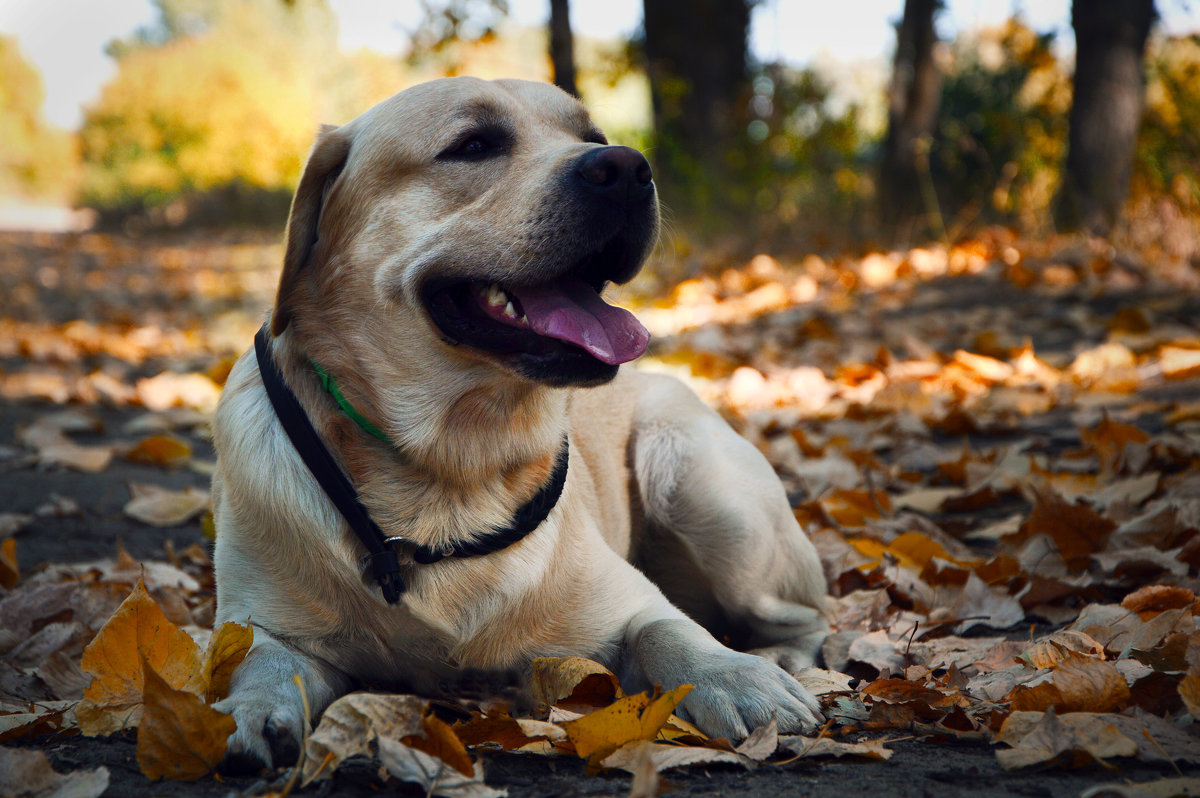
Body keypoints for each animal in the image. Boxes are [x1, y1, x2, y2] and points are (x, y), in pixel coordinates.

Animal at [211, 78, 830, 768]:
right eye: (473, 145)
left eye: (590, 137)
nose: (626, 167)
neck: (454, 464)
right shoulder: (268, 626)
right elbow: (261, 664)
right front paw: (252, 712)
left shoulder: (628, 606)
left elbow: (671, 633)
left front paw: (736, 677)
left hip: (704, 490)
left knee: (809, 614)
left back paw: (776, 659)